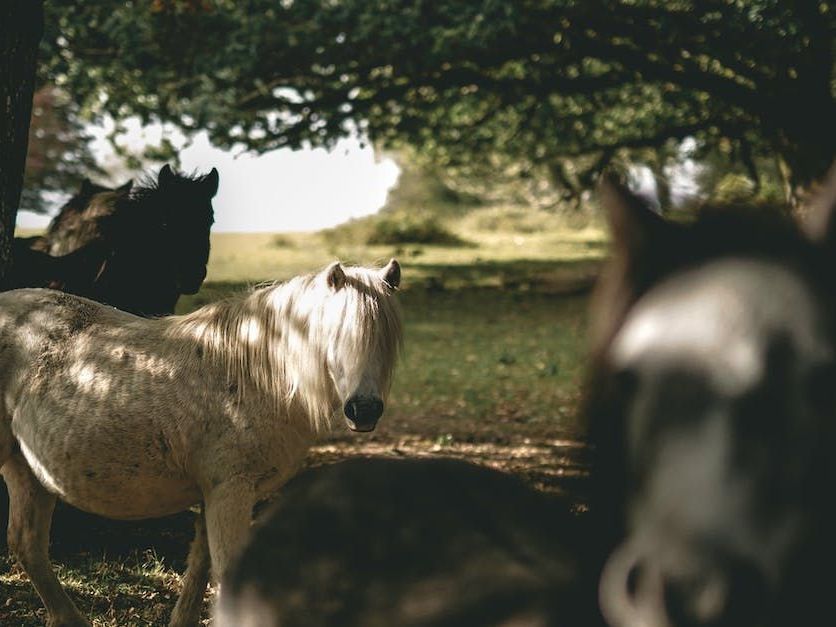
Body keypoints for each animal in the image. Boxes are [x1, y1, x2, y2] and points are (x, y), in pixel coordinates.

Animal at [0, 259, 402, 627]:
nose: (364, 410)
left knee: (26, 542)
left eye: (385, 340)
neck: (256, 375)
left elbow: (200, 568)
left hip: (28, 470)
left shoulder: (214, 495)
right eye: (337, 336)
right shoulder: (230, 491)